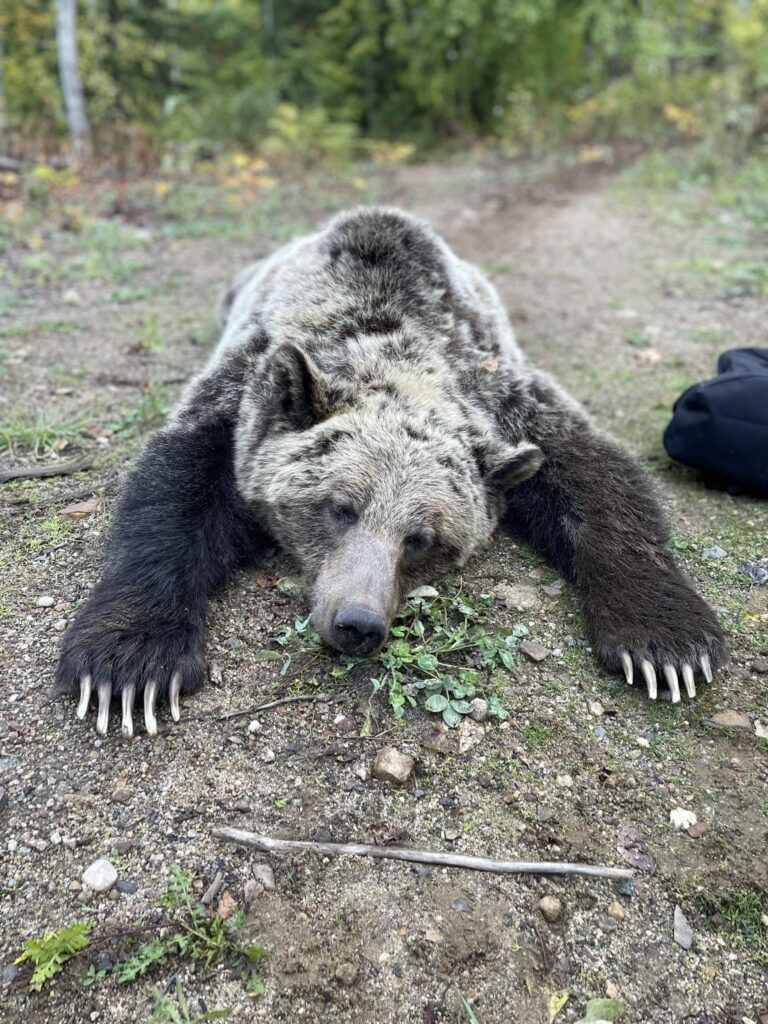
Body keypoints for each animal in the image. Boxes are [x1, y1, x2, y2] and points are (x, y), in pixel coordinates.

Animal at [55, 206, 726, 737]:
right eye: (339, 508)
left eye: (421, 539)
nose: (358, 623)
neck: (390, 337)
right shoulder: (243, 387)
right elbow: (175, 493)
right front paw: (130, 667)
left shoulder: (503, 394)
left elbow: (597, 481)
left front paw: (666, 646)